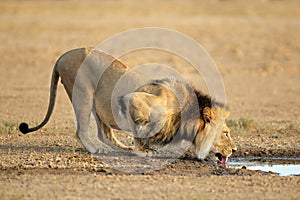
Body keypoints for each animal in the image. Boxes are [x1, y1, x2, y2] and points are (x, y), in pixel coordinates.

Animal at [19, 47, 237, 163]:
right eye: (225, 133)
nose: (235, 150)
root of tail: (63, 55)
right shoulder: (134, 99)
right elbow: (141, 129)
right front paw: (143, 150)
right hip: (82, 94)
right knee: (81, 131)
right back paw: (96, 149)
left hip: (98, 105)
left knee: (104, 134)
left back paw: (122, 148)